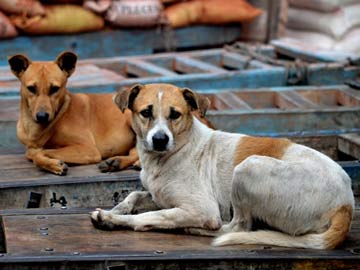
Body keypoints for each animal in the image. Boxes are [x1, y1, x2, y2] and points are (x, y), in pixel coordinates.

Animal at [8, 51, 138, 175]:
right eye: (31, 88)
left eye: (55, 89)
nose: (42, 116)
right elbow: (33, 152)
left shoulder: (88, 149)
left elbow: (39, 153)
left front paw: (54, 165)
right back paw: (117, 162)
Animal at [91, 83, 356, 250]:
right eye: (146, 112)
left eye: (175, 114)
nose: (160, 139)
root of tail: (346, 204)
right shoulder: (159, 195)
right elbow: (135, 195)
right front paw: (119, 208)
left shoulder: (202, 209)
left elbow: (148, 217)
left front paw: (112, 219)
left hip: (248, 168)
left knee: (237, 227)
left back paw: (196, 230)